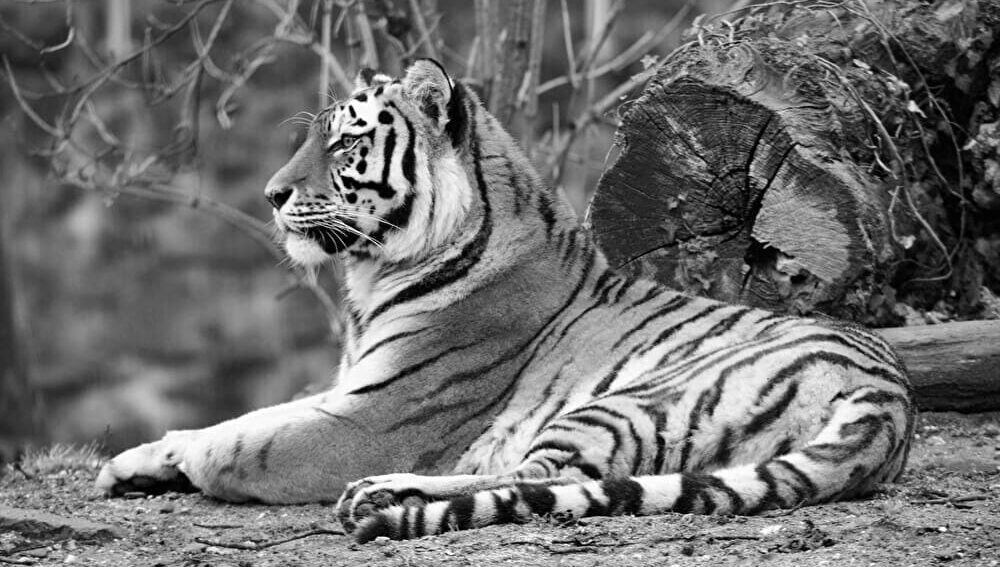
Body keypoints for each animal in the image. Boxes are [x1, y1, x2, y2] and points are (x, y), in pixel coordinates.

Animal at [96, 59, 916, 543]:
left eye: (344, 146)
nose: (270, 195)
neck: (376, 275)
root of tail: (890, 400)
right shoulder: (348, 387)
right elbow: (246, 416)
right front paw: (137, 461)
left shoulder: (376, 415)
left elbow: (250, 439)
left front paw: (184, 459)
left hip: (626, 400)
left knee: (545, 479)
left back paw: (380, 494)